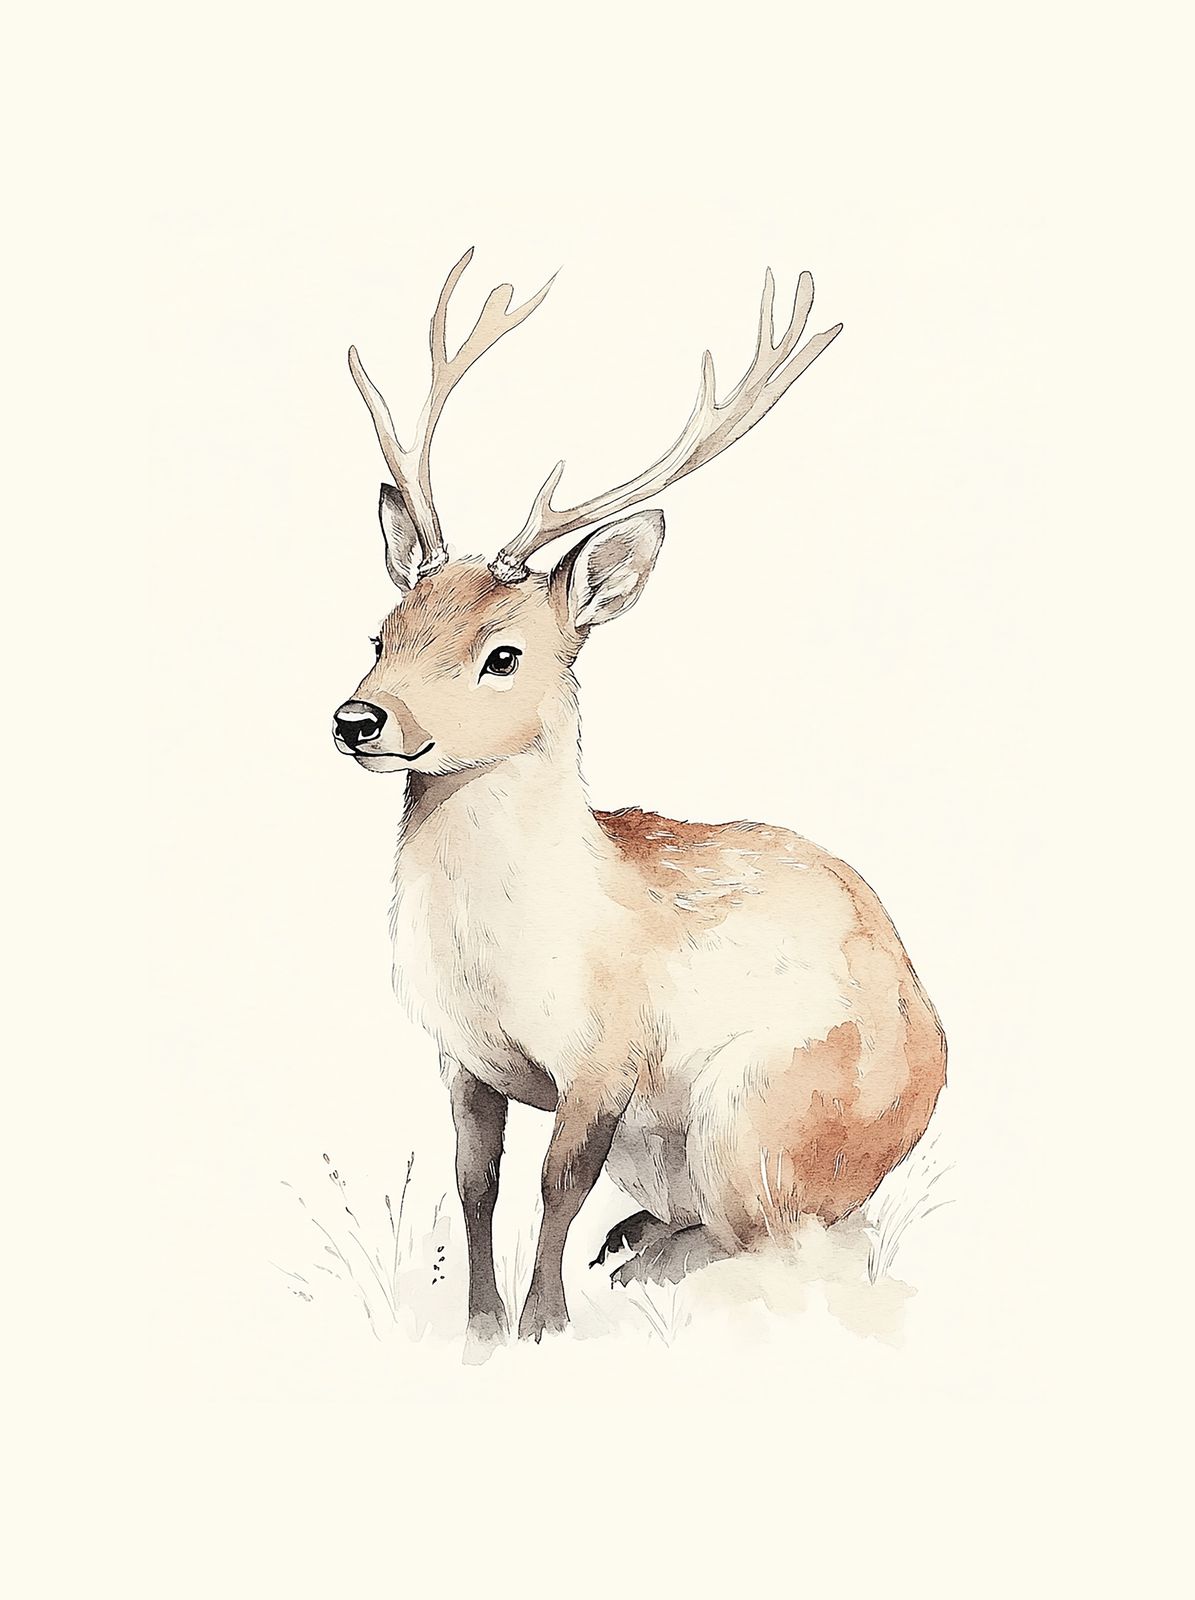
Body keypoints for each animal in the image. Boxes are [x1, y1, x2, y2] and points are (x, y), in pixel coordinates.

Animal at [332, 249, 947, 1346]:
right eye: (383, 631)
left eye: (502, 655)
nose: (359, 719)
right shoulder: (460, 1060)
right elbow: (477, 1183)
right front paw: (478, 1329)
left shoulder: (608, 1055)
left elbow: (555, 1183)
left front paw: (542, 1328)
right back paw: (631, 1248)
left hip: (755, 1117)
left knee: (794, 1249)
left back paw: (642, 1272)